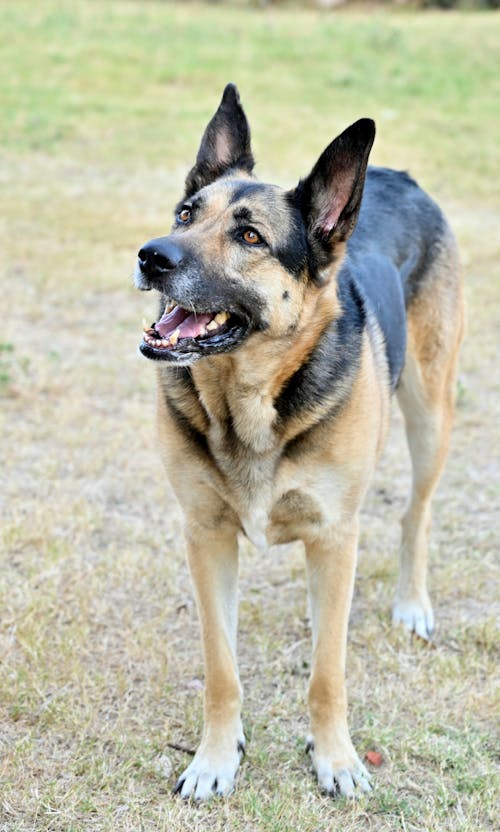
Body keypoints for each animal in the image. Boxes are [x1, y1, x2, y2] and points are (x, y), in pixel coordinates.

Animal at [134, 84, 464, 800]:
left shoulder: (335, 538)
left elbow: (328, 673)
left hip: (431, 413)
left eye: (250, 236)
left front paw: (335, 758)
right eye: (185, 214)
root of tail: (397, 174)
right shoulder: (206, 537)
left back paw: (412, 604)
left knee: (416, 513)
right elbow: (222, 668)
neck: (250, 399)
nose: (150, 255)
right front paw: (215, 759)